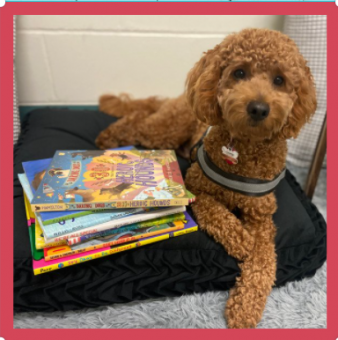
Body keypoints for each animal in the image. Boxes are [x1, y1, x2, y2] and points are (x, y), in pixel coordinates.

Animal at [95, 28, 316, 326]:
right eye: (239, 72)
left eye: (279, 80)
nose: (258, 108)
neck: (243, 148)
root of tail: (180, 96)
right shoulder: (195, 186)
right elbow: (217, 211)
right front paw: (241, 239)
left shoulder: (261, 218)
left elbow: (263, 261)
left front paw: (245, 309)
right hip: (166, 130)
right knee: (137, 120)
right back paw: (107, 137)